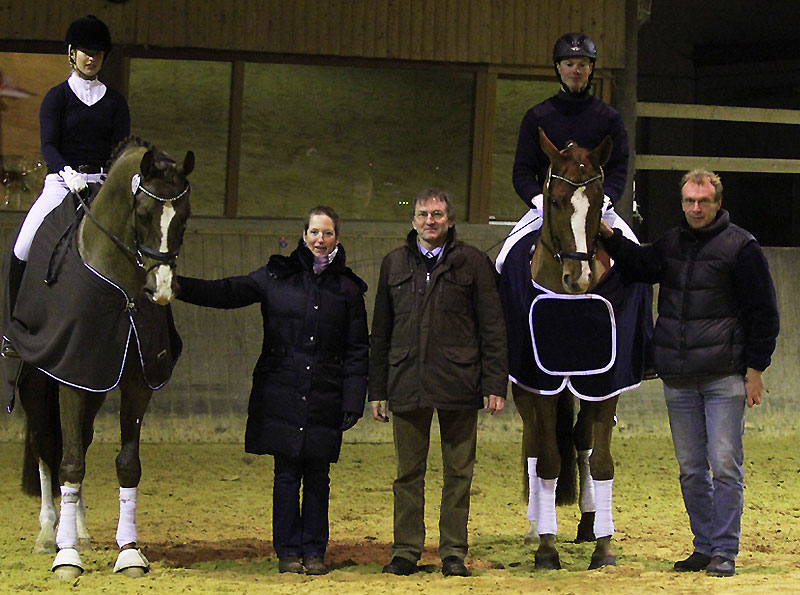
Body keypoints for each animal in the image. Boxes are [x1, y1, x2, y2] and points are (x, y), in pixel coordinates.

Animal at [2, 136, 193, 579]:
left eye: (185, 217)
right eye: (142, 213)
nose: (160, 289)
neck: (120, 290)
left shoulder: (134, 381)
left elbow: (127, 464)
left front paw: (129, 552)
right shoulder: (71, 372)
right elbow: (69, 461)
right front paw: (66, 556)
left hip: (96, 385)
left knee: (80, 440)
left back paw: (81, 530)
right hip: (38, 379)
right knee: (46, 444)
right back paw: (48, 534)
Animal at [498, 128, 651, 570]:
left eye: (599, 202)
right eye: (554, 200)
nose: (578, 276)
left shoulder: (607, 382)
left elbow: (601, 462)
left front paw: (604, 547)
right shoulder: (540, 381)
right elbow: (548, 461)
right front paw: (547, 549)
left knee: (582, 440)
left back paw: (588, 522)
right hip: (526, 387)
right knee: (535, 444)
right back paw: (535, 528)